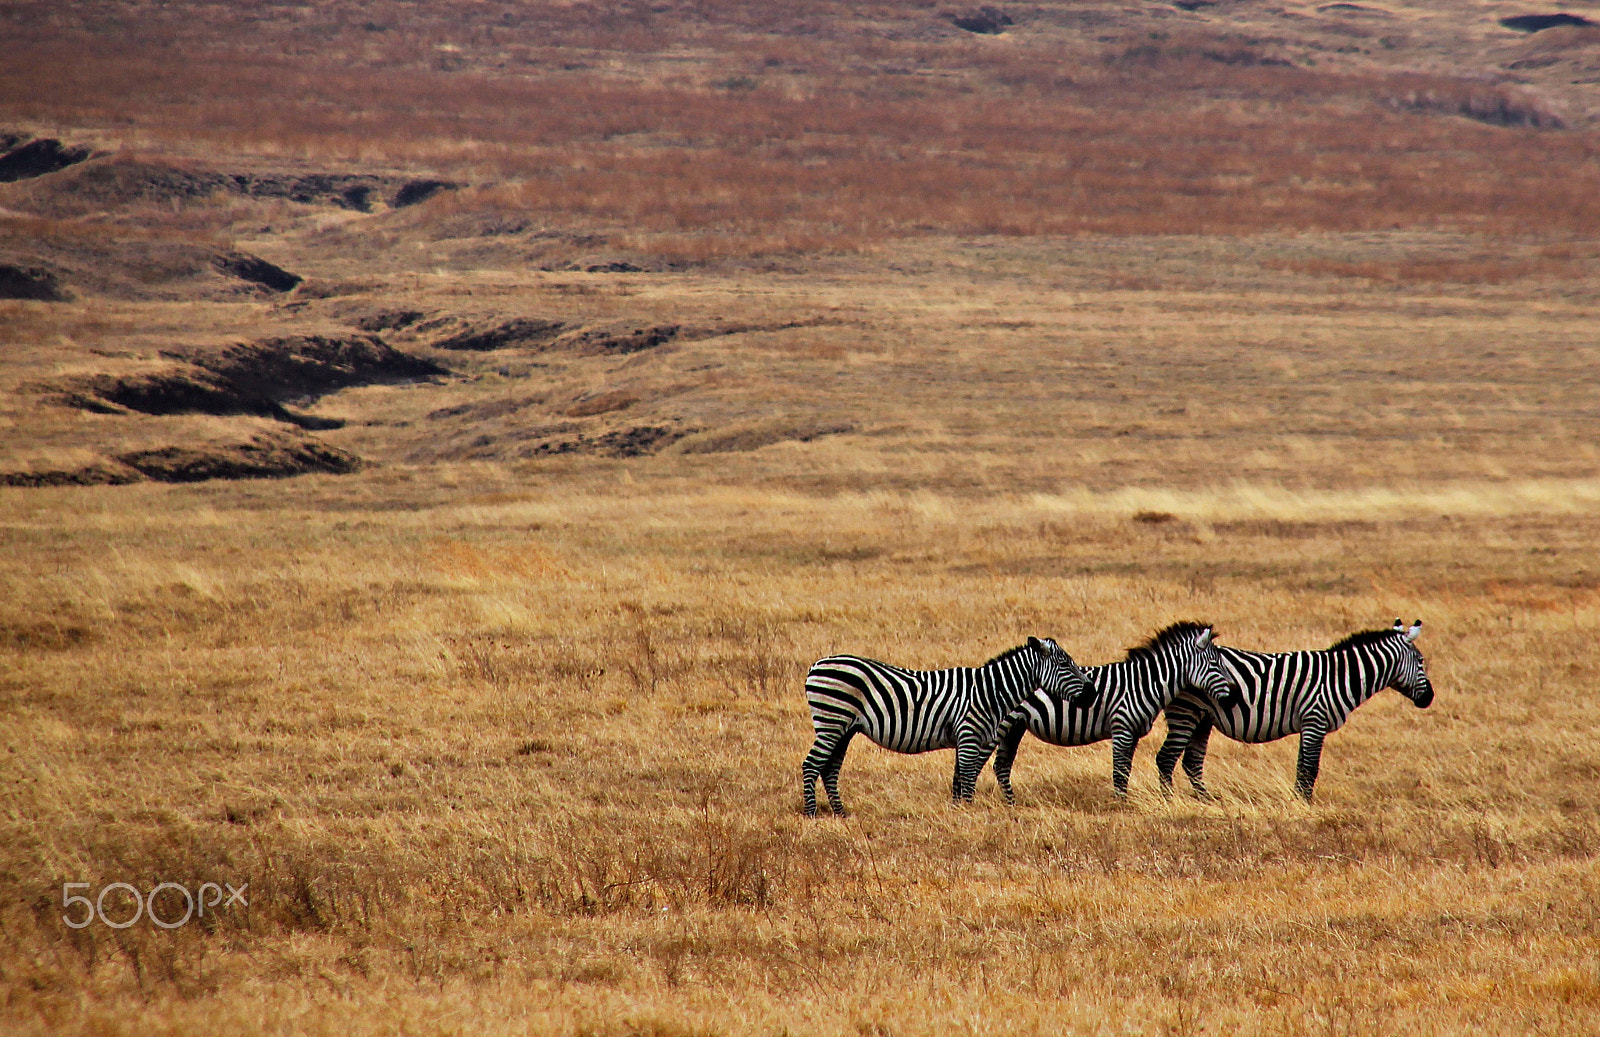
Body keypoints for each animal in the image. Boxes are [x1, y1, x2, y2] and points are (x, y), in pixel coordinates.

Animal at [801, 637, 1097, 817]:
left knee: (830, 768)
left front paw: (959, 813)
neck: (988, 692)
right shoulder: (969, 735)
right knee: (812, 764)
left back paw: (840, 813)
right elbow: (967, 778)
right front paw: (969, 813)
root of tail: (817, 664)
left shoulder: (967, 738)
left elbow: (959, 778)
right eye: (1064, 664)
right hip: (831, 721)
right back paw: (812, 813)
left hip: (844, 728)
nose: (1092, 693)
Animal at [990, 622, 1240, 801]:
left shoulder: (1134, 733)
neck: (1142, 684)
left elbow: (1126, 769)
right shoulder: (1122, 728)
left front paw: (1124, 802)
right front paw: (1121, 805)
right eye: (1216, 664)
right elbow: (1119, 771)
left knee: (1001, 765)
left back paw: (1011, 804)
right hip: (1003, 725)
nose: (1236, 694)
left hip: (1016, 727)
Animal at [1155, 619, 1435, 801]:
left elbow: (1302, 766)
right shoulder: (1316, 719)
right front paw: (1305, 805)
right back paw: (1169, 801)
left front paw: (1297, 799)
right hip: (1186, 712)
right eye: (1421, 661)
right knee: (1166, 758)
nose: (1429, 698)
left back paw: (1206, 799)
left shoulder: (1310, 725)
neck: (1339, 677)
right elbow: (1310, 768)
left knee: (1191, 761)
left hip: (1203, 718)